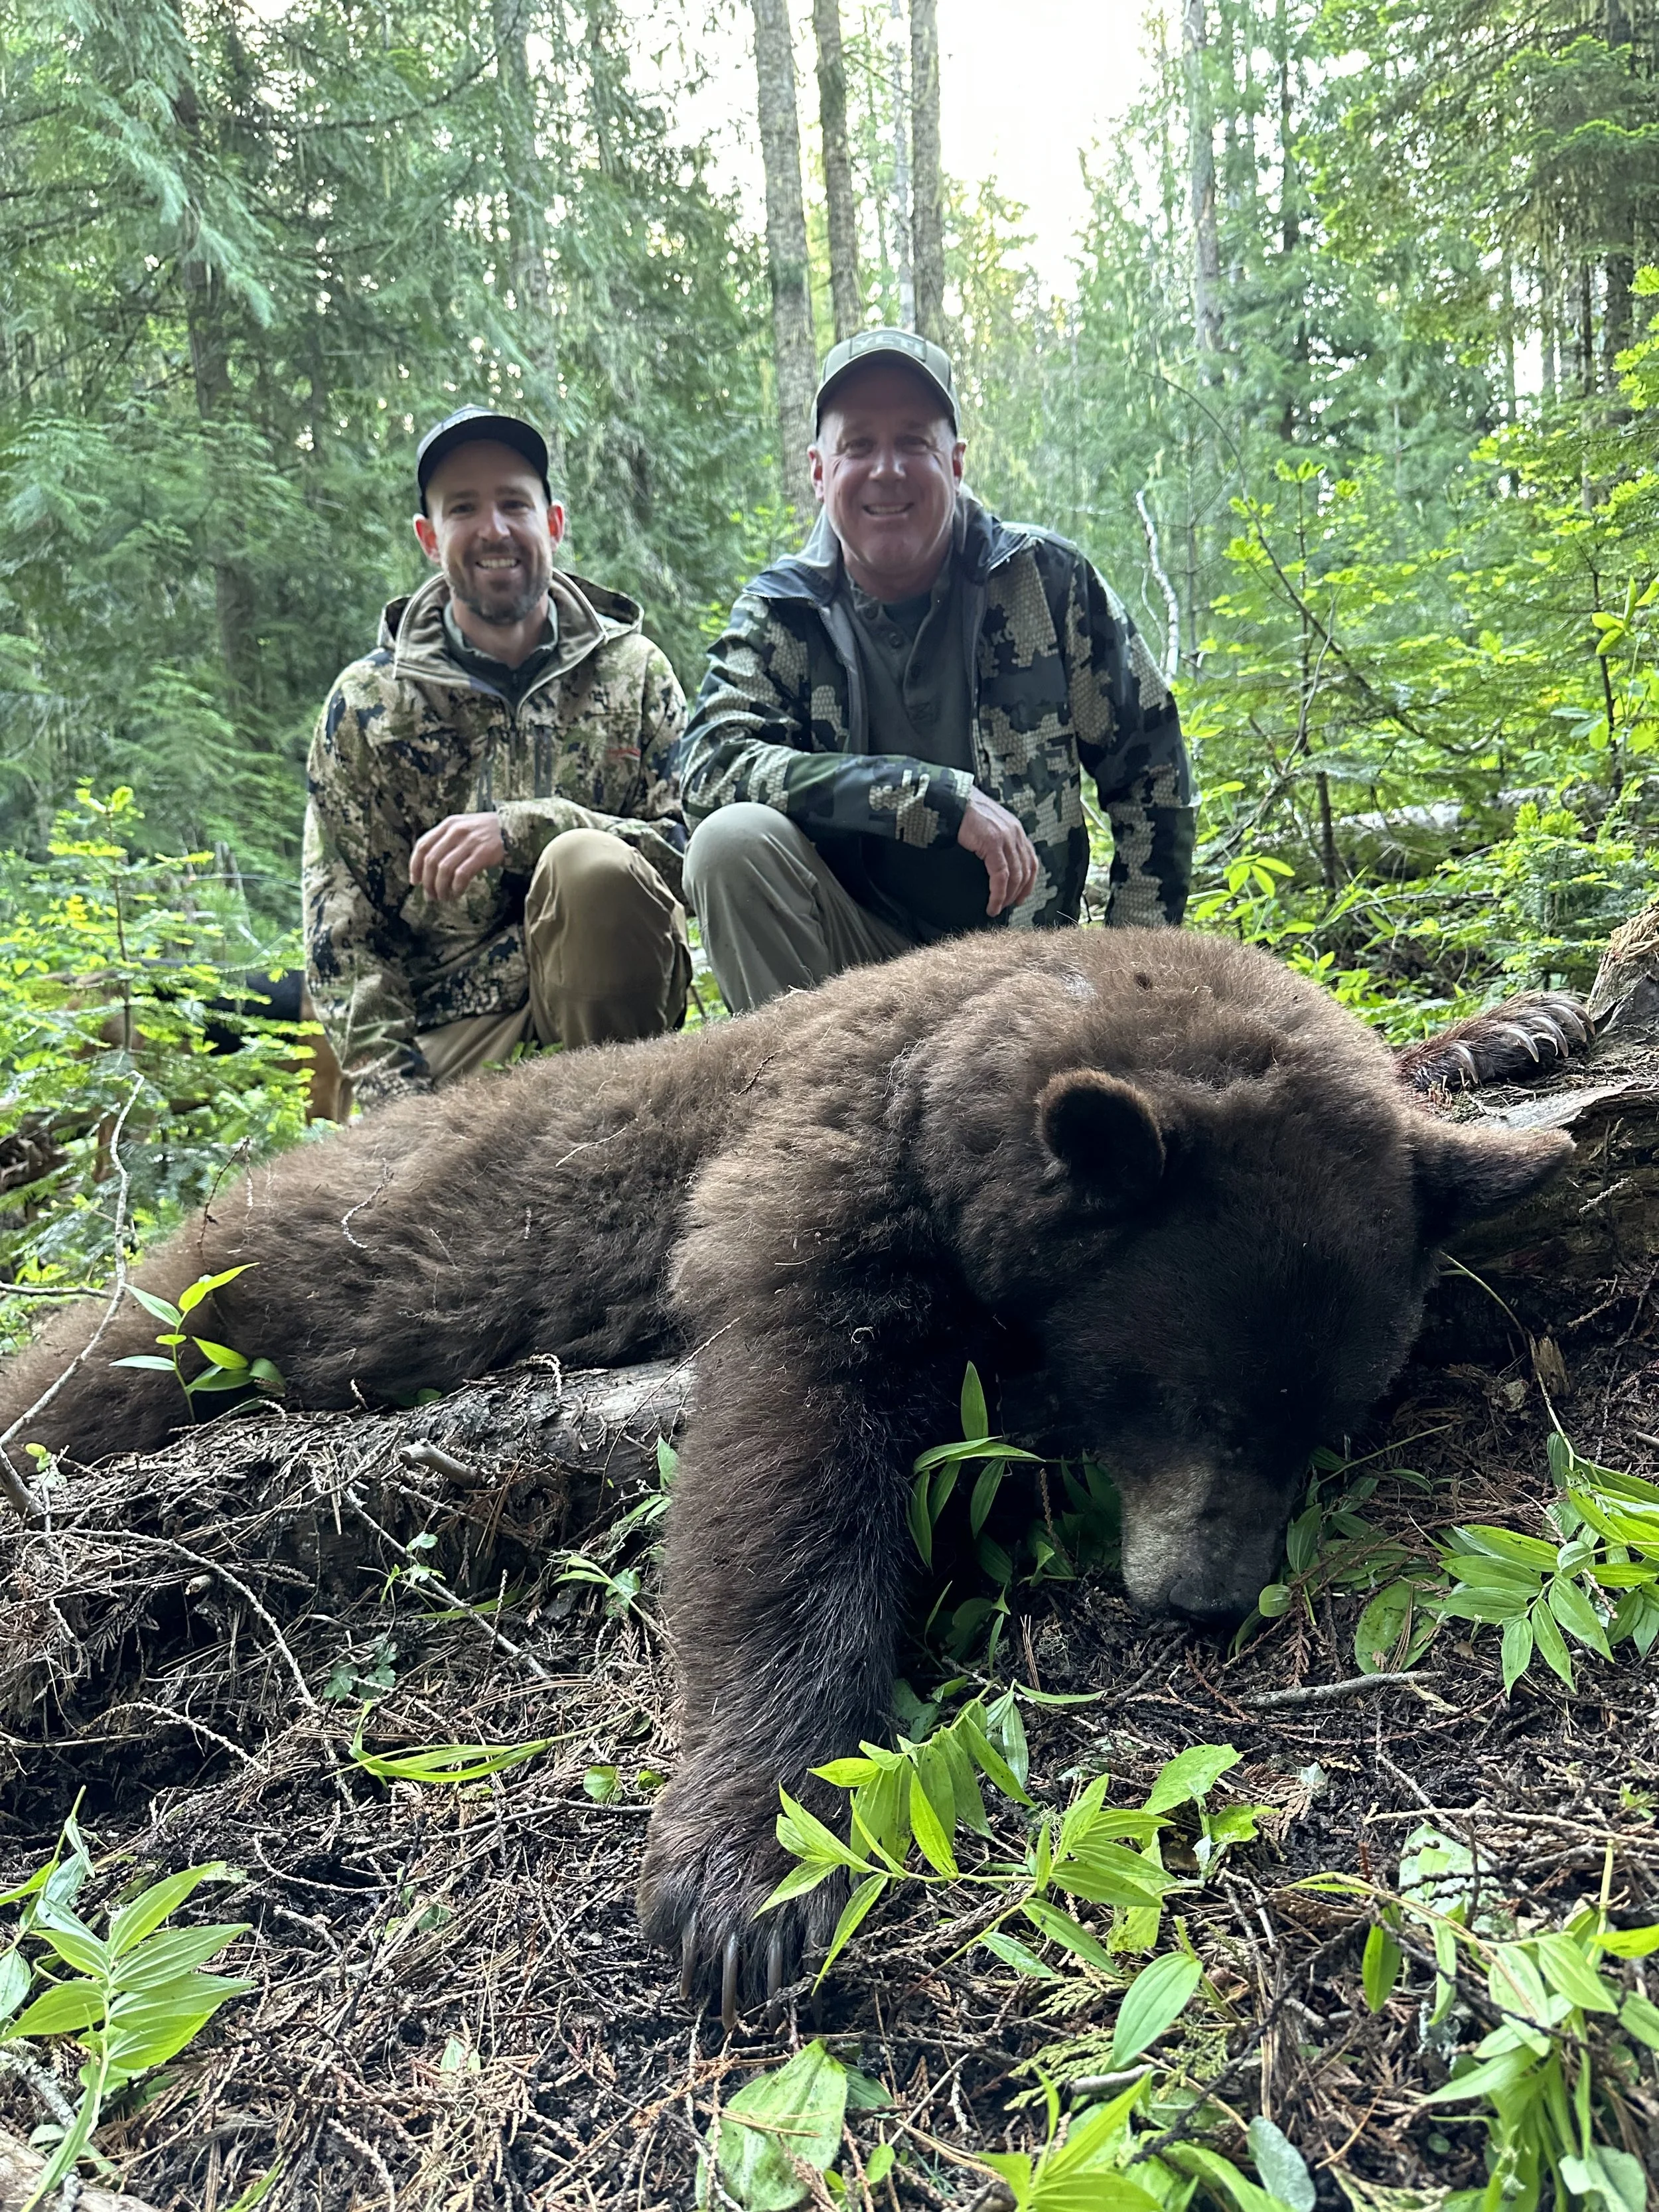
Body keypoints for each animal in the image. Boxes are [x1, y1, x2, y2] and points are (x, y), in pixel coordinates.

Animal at [0, 930, 1575, 2025]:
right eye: (1185, 1400)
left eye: (1327, 1419)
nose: (1205, 1593)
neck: (966, 1043)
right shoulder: (816, 1185)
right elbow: (786, 1474)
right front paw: (750, 1869)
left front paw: (1511, 1028)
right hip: (219, 1295)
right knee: (83, 1369)